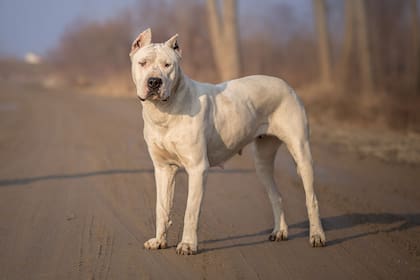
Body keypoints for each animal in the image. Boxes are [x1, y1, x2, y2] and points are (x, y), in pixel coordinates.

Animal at [130, 29, 326, 256]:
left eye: (167, 65)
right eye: (142, 63)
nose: (154, 82)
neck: (165, 111)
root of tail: (286, 84)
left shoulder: (198, 169)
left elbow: (191, 211)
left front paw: (187, 244)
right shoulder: (163, 168)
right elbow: (161, 207)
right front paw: (159, 241)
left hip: (302, 153)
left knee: (311, 198)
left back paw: (317, 235)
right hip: (262, 162)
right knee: (275, 195)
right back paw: (280, 231)